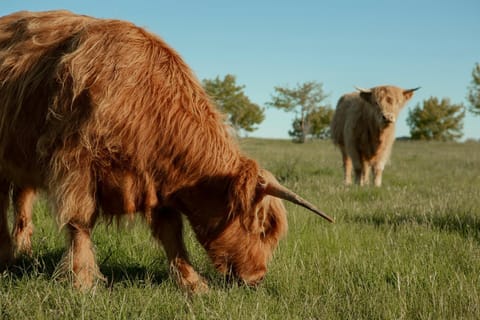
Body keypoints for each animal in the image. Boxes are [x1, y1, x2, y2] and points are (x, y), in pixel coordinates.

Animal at [0, 10, 334, 292]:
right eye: (263, 228)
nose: (258, 277)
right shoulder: (75, 165)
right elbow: (80, 223)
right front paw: (81, 281)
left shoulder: (155, 182)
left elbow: (172, 234)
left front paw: (193, 284)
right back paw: (6, 257)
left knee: (21, 199)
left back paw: (22, 250)